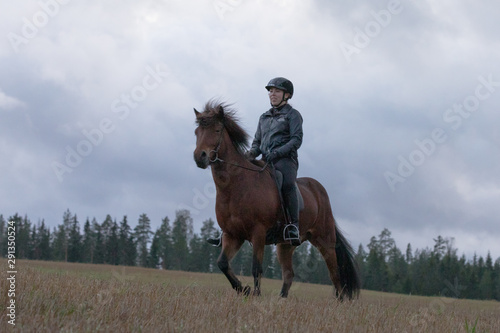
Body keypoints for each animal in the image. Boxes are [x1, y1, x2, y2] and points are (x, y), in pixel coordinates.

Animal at [191, 99, 360, 298]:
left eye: (217, 130)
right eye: (197, 132)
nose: (199, 157)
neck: (236, 187)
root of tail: (320, 190)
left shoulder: (258, 233)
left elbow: (256, 268)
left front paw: (255, 295)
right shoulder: (232, 235)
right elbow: (222, 263)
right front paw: (244, 289)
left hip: (325, 241)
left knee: (335, 276)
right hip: (285, 245)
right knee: (289, 274)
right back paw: (280, 300)